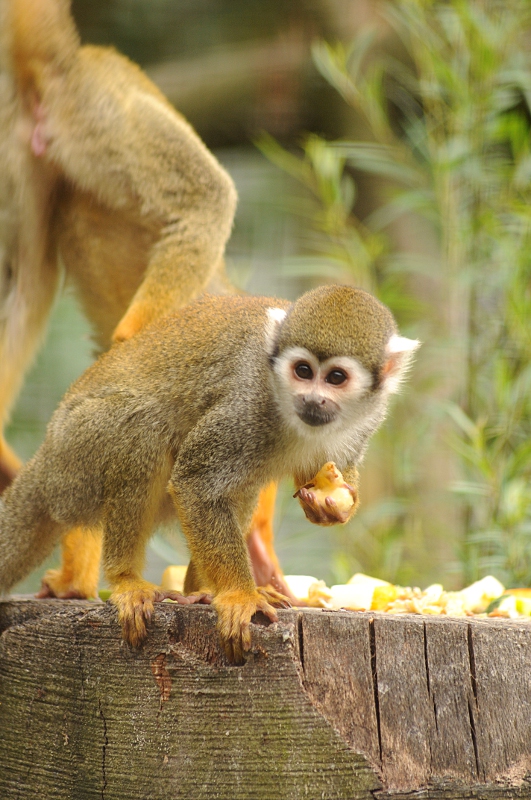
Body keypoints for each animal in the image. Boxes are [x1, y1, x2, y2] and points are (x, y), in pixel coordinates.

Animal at [0, 0, 290, 602]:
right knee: (204, 196)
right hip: (100, 116)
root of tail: (76, 60)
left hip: (22, 150)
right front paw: (249, 556)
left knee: (26, 280)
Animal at [0, 285, 419, 661]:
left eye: (335, 378)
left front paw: (331, 505)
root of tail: (46, 456)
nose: (312, 399)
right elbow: (195, 483)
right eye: (303, 371)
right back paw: (127, 579)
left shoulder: (368, 419)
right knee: (143, 426)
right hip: (76, 456)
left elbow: (323, 474)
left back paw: (198, 591)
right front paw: (239, 596)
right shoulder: (247, 403)